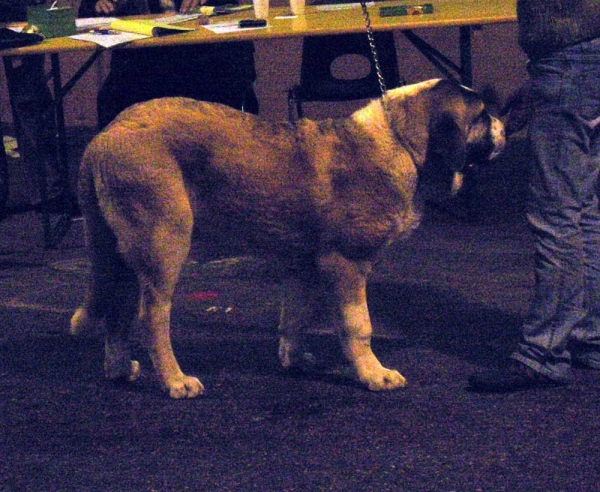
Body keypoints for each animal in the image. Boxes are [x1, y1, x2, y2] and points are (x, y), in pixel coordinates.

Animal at [70, 79, 506, 398]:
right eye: (482, 116)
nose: (505, 125)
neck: (401, 140)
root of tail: (104, 135)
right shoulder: (346, 263)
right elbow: (357, 324)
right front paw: (372, 373)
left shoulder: (305, 265)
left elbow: (295, 316)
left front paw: (293, 359)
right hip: (165, 242)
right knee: (152, 316)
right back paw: (175, 381)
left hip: (121, 253)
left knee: (117, 310)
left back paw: (119, 369)